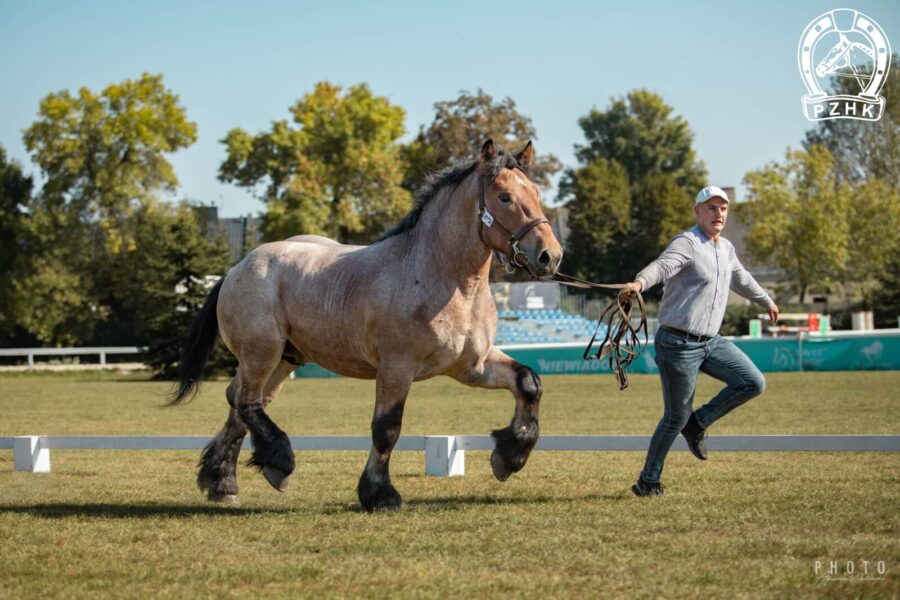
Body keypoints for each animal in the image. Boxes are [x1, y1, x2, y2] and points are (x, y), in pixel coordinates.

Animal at [169, 139, 564, 510]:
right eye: (504, 196)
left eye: (536, 193)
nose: (550, 255)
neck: (443, 278)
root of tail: (239, 267)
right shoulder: (396, 368)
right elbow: (386, 429)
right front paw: (379, 494)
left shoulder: (471, 366)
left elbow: (528, 383)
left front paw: (509, 456)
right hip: (261, 353)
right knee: (247, 401)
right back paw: (276, 462)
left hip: (282, 360)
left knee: (241, 401)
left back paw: (223, 482)